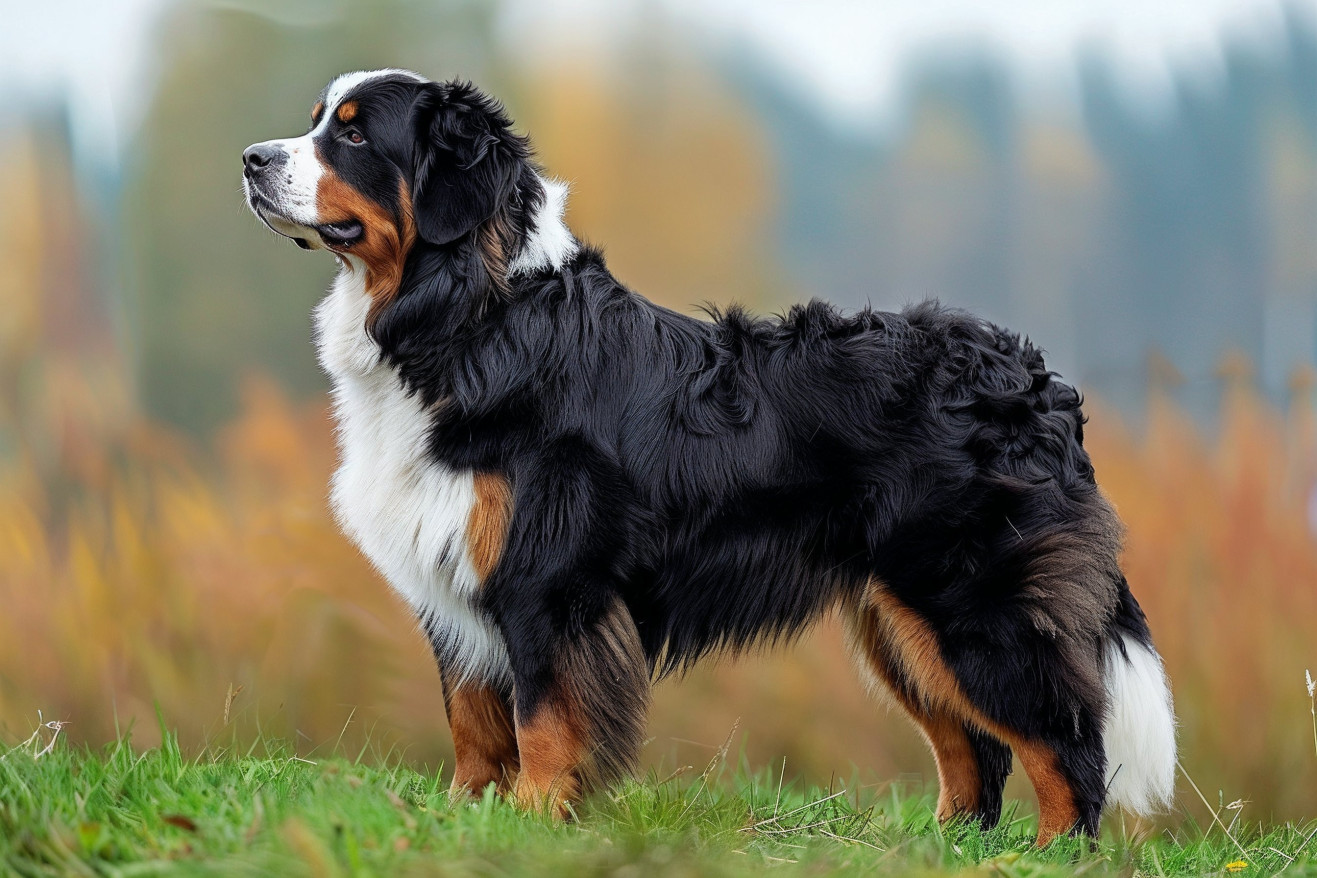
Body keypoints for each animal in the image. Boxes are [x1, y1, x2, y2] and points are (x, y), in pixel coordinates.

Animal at [242, 70, 1180, 842]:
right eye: (318, 119)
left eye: (355, 137)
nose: (251, 158)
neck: (471, 317)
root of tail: (1034, 378)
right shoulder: (457, 573)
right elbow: (473, 718)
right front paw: (467, 818)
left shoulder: (546, 580)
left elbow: (543, 717)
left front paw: (534, 820)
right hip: (899, 619)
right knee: (974, 752)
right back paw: (944, 849)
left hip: (970, 603)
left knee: (1066, 742)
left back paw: (1050, 855)